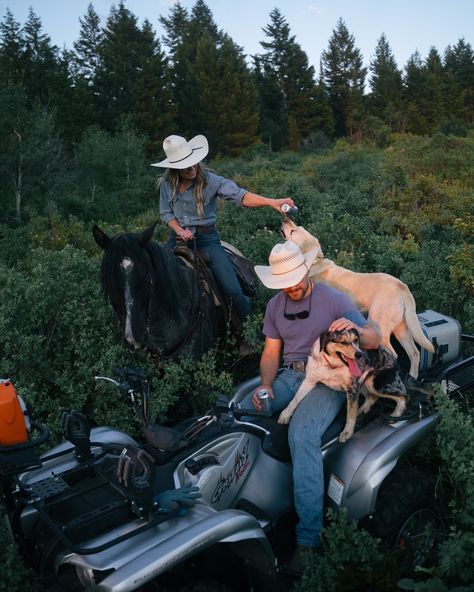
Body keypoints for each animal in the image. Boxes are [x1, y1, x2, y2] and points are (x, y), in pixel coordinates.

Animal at [278, 330, 408, 442]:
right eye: (343, 342)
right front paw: (285, 414)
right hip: (363, 384)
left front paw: (347, 432)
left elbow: (350, 414)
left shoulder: (352, 388)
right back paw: (360, 411)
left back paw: (396, 414)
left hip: (375, 383)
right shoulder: (309, 381)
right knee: (371, 398)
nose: (360, 354)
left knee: (404, 396)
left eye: (356, 340)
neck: (331, 366)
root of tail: (393, 358)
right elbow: (295, 399)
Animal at [284, 217, 436, 380]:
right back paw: (412, 378)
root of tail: (402, 286)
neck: (314, 263)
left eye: (293, 231)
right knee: (414, 353)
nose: (285, 219)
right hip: (402, 329)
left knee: (394, 354)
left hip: (379, 326)